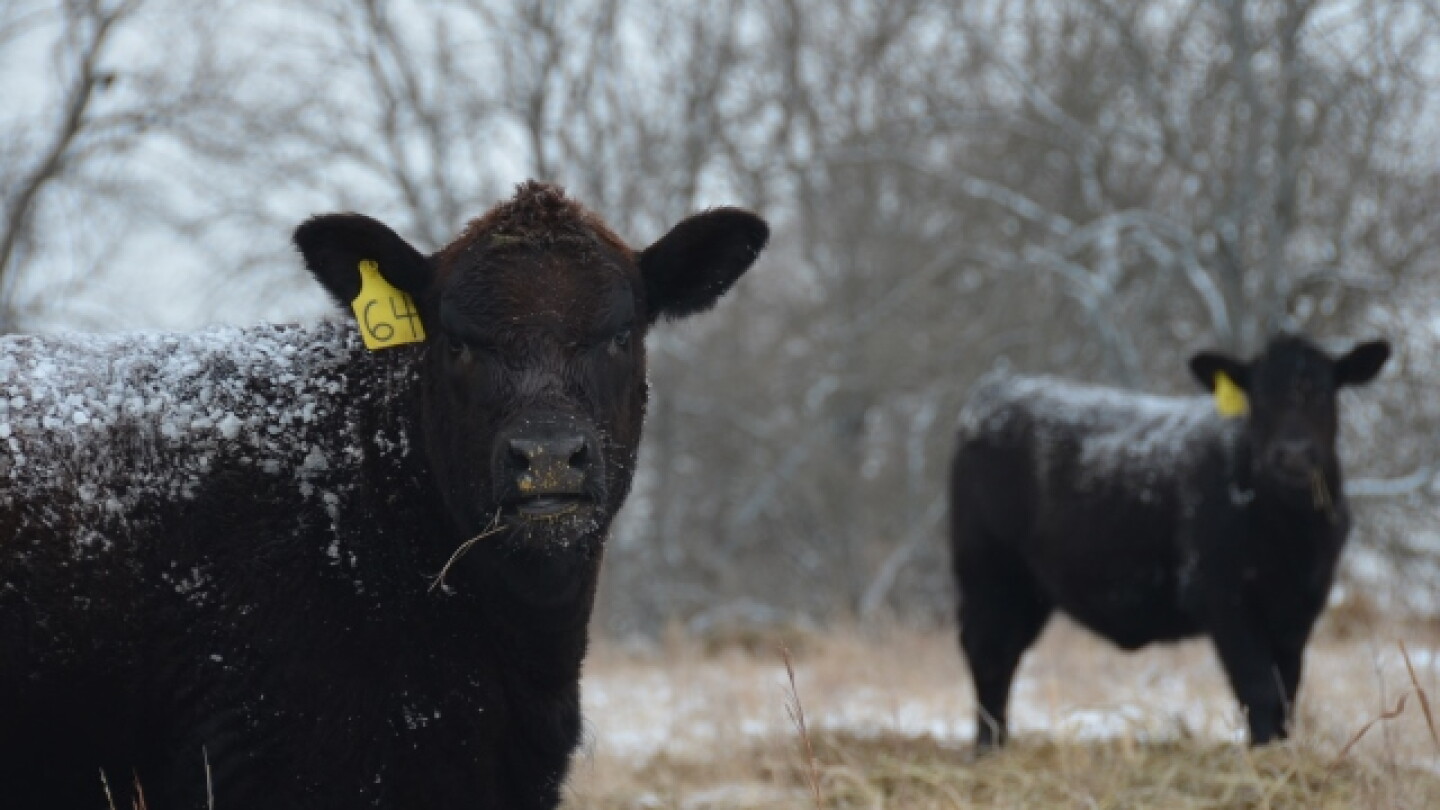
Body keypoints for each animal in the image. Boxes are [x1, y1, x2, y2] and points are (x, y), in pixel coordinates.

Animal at [949, 335, 1390, 751]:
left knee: (1004, 653)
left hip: (1029, 590)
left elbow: (1287, 692)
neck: (1288, 533)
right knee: (988, 653)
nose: (1294, 455)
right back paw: (988, 747)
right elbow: (1259, 688)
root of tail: (998, 390)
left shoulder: (1300, 606)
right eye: (1258, 398)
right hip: (989, 570)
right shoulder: (1223, 596)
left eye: (1324, 393)